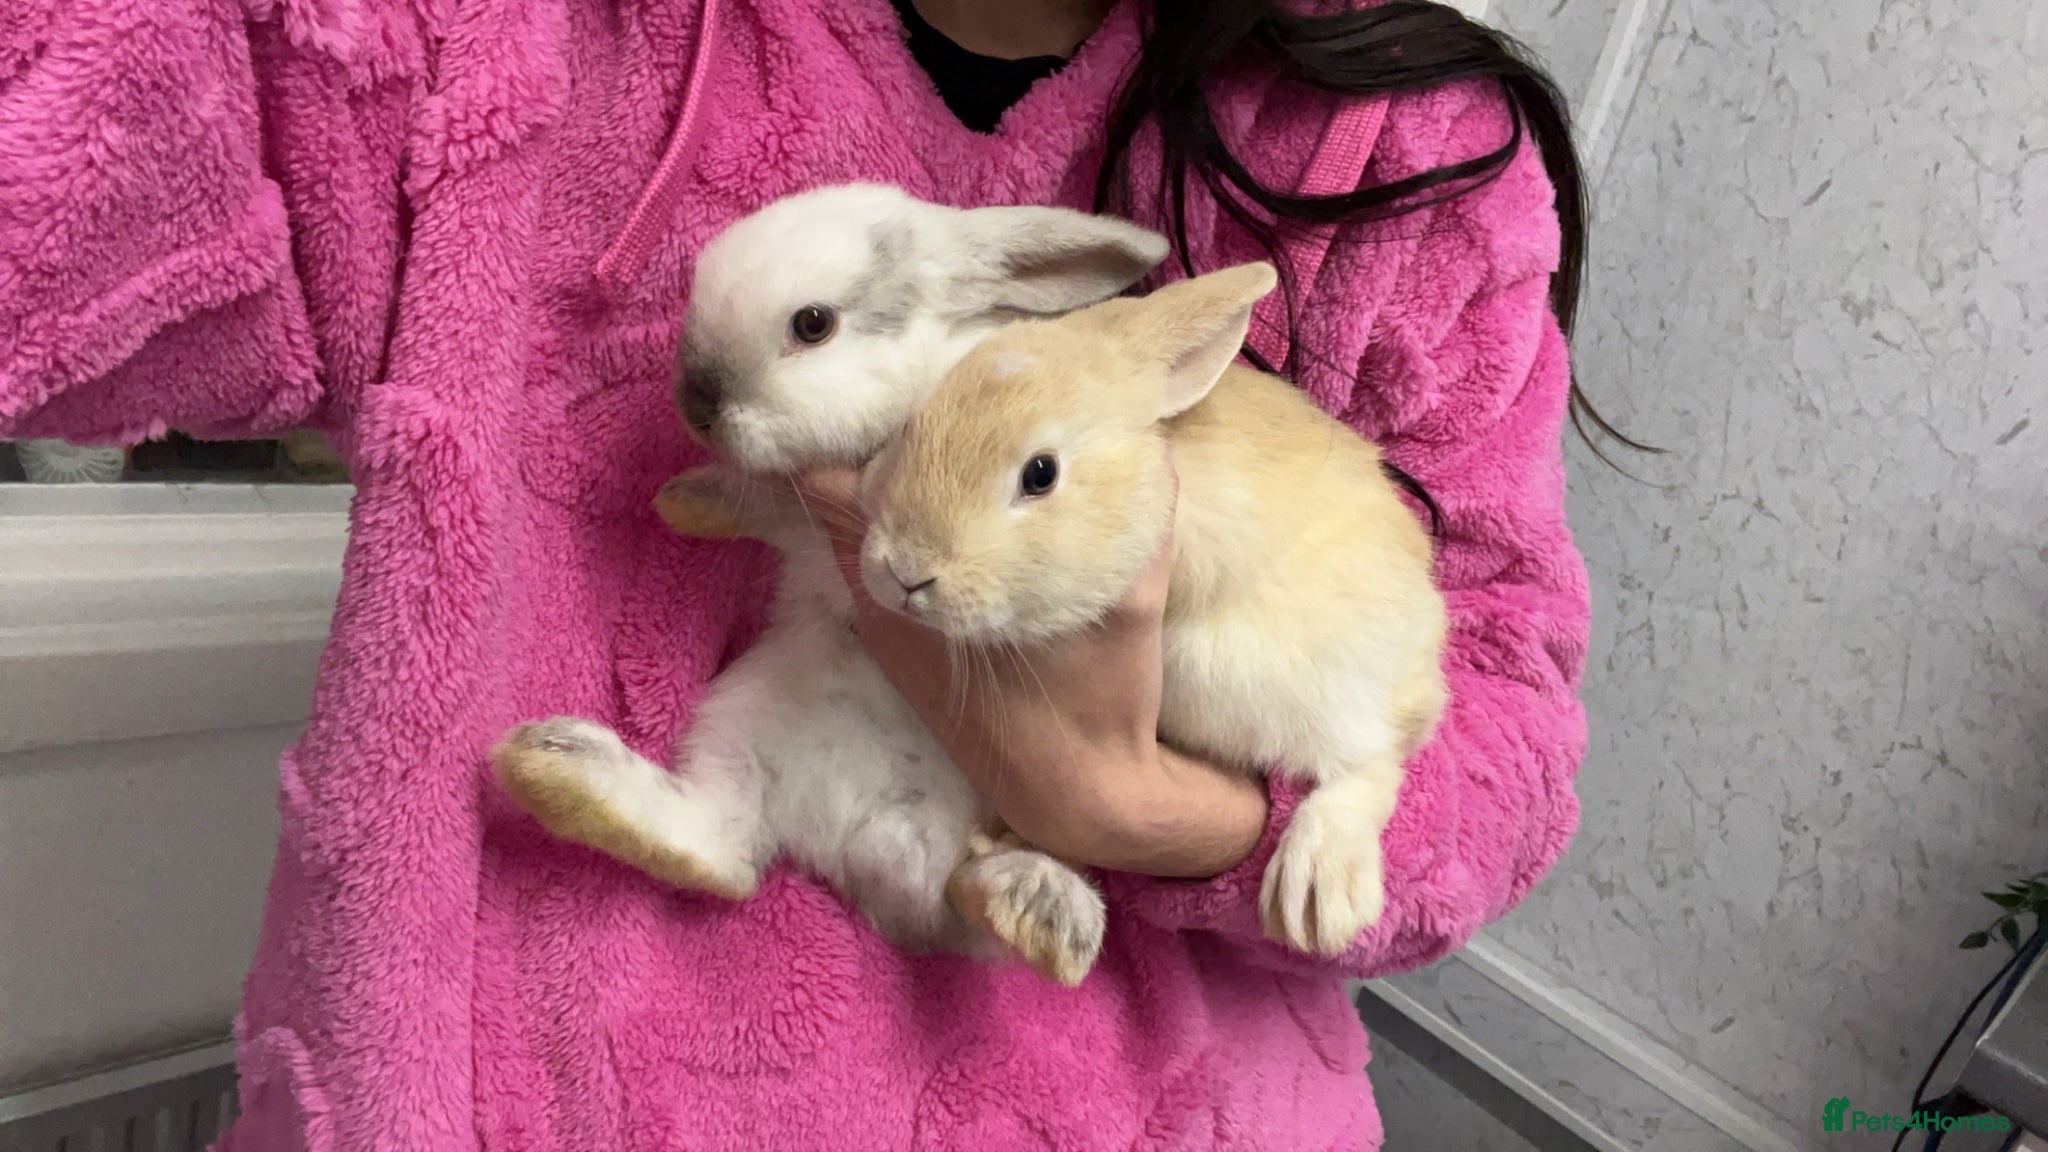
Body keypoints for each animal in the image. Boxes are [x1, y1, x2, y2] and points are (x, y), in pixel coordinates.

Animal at [490, 183, 1170, 985]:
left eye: (812, 324)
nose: (696, 405)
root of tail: (859, 838)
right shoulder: (809, 527)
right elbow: (769, 504)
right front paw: (684, 500)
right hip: (744, 719)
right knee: (723, 854)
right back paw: (559, 766)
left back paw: (1044, 909)